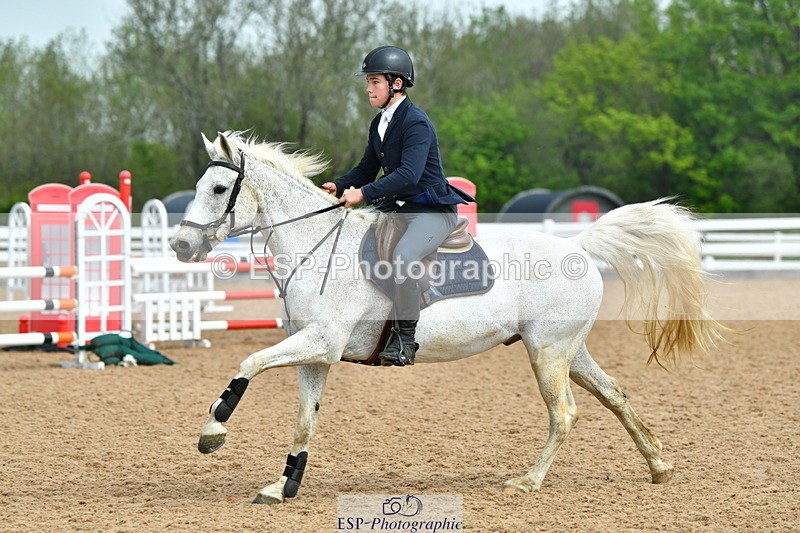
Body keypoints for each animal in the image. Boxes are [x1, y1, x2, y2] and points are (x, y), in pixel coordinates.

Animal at [169, 130, 725, 504]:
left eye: (218, 189)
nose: (181, 245)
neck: (316, 247)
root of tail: (578, 245)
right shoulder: (317, 354)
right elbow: (305, 421)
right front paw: (284, 485)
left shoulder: (321, 341)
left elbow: (248, 363)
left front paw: (213, 430)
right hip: (569, 350)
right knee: (615, 395)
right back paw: (658, 465)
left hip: (548, 353)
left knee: (564, 414)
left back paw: (528, 481)